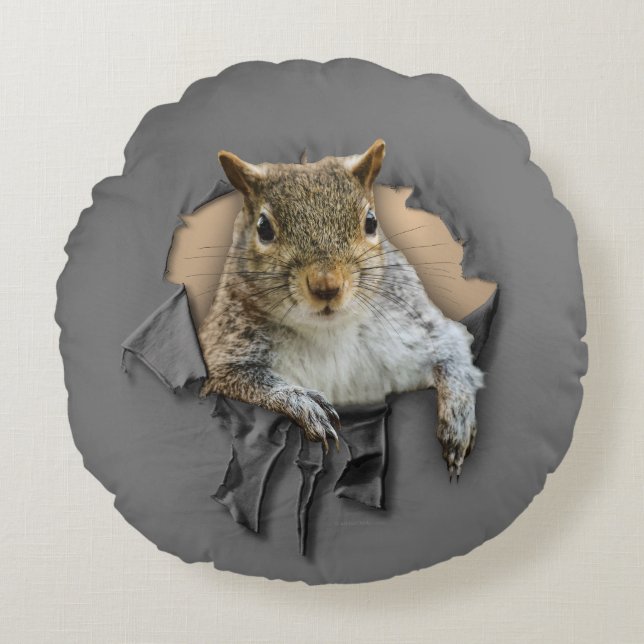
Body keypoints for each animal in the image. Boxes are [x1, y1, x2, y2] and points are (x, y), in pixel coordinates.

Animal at [198, 140, 483, 478]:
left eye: (371, 221)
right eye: (263, 228)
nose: (326, 286)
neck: (329, 332)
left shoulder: (415, 330)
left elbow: (453, 351)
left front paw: (458, 417)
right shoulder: (223, 346)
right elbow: (237, 379)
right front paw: (300, 401)